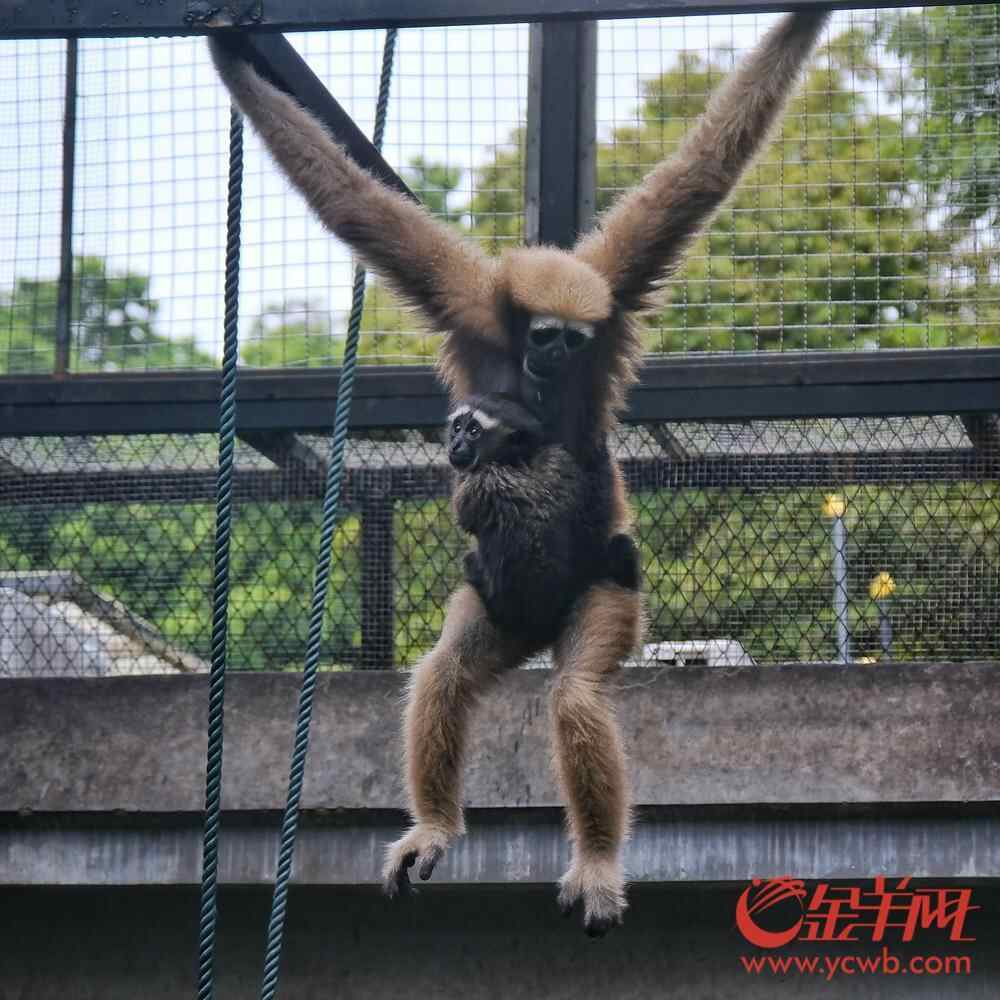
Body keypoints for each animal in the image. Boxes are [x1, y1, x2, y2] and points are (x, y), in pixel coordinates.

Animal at [447, 394, 640, 644]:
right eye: (457, 427)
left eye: (473, 431)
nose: (455, 443)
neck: (515, 460)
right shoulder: (560, 459)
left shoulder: (478, 485)